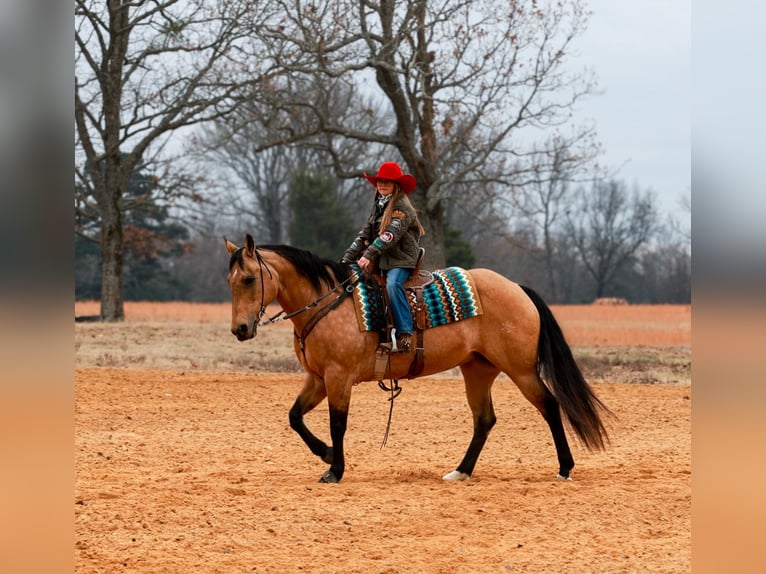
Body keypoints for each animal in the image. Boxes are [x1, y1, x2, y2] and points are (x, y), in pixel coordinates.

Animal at [225, 234, 611, 483]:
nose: (240, 329)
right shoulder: (318, 379)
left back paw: (565, 467)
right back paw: (461, 471)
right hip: (477, 370)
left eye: (249, 278)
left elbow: (338, 424)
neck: (327, 303)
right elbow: (295, 417)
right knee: (484, 420)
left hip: (521, 370)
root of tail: (517, 287)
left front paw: (335, 469)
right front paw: (327, 454)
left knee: (549, 405)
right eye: (230, 280)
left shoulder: (339, 378)